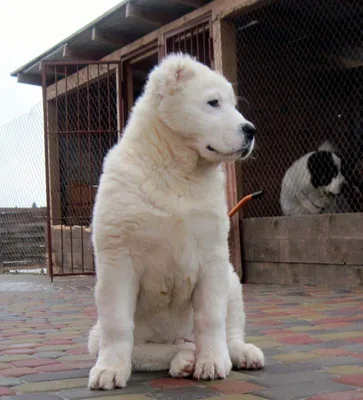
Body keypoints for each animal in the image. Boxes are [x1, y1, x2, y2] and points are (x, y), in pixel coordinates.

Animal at [88, 53, 264, 390]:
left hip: (232, 281)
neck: (177, 171)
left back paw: (238, 353)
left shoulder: (212, 256)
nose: (250, 129)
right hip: (98, 334)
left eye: (234, 104)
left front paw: (212, 362)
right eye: (213, 102)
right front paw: (109, 370)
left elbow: (211, 317)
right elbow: (118, 324)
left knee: (229, 331)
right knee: (145, 350)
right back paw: (182, 358)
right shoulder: (117, 259)